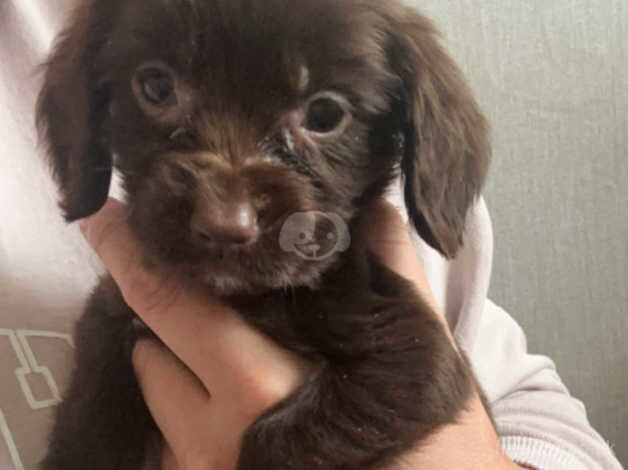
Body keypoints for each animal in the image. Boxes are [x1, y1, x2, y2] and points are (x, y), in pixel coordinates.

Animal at [38, 1, 490, 468]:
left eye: (325, 114)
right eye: (157, 87)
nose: (224, 225)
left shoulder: (417, 355)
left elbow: (282, 437)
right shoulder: (112, 311)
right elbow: (92, 408)